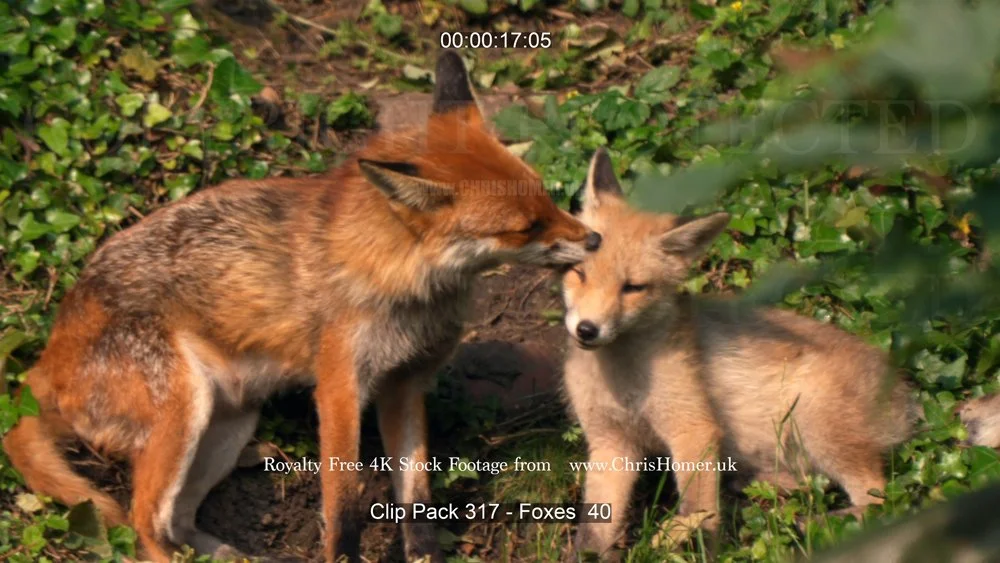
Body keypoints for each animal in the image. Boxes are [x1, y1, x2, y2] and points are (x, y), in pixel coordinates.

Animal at [2, 51, 602, 563]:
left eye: (547, 196)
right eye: (525, 227)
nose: (595, 239)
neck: (404, 281)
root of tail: (45, 359)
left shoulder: (404, 384)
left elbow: (417, 500)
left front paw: (424, 552)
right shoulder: (339, 387)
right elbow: (345, 504)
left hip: (228, 425)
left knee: (178, 521)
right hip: (181, 413)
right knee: (143, 524)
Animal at [559, 148, 921, 559]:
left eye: (633, 288)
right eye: (578, 273)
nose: (587, 329)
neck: (621, 379)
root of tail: (903, 392)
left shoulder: (693, 428)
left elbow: (700, 511)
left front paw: (697, 548)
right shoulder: (610, 441)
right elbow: (594, 529)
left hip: (816, 424)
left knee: (882, 501)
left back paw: (823, 524)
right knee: (818, 485)